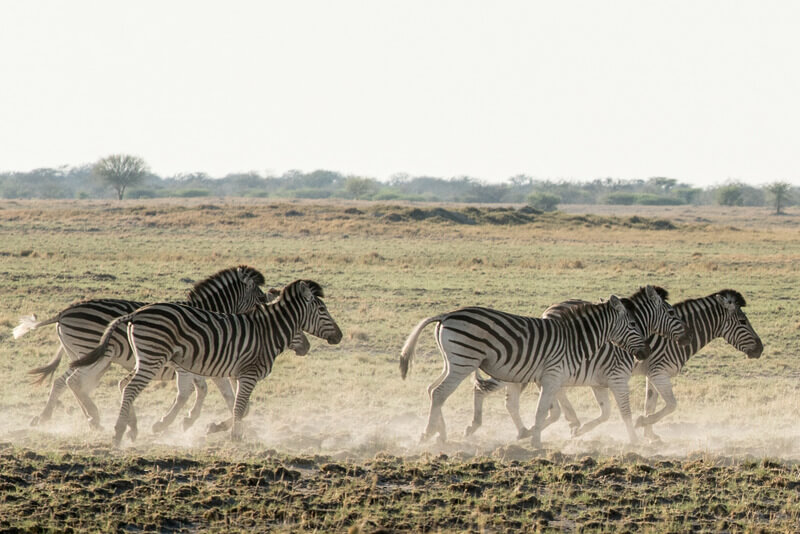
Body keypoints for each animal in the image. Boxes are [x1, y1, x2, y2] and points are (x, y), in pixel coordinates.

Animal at [15, 266, 310, 434]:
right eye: (261, 299)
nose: (306, 346)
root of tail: (64, 312)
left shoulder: (205, 364)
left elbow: (212, 394)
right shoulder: (195, 365)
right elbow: (201, 393)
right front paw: (183, 422)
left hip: (83, 356)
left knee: (65, 383)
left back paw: (59, 417)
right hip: (94, 354)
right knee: (74, 383)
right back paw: (91, 419)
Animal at [70, 280, 342, 448]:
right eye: (322, 310)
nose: (339, 336)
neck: (268, 331)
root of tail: (135, 313)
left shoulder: (232, 373)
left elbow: (239, 405)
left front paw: (216, 427)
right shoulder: (247, 373)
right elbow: (239, 407)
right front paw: (235, 437)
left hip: (144, 359)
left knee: (123, 384)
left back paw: (130, 427)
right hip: (152, 358)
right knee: (128, 388)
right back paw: (117, 432)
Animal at [400, 296, 648, 450]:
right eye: (633, 324)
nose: (643, 353)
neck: (575, 339)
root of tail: (446, 315)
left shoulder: (553, 379)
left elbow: (553, 412)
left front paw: (534, 435)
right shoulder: (552, 377)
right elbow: (542, 411)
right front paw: (536, 442)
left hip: (451, 362)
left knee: (432, 390)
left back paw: (441, 433)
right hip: (463, 362)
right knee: (440, 393)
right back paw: (428, 433)